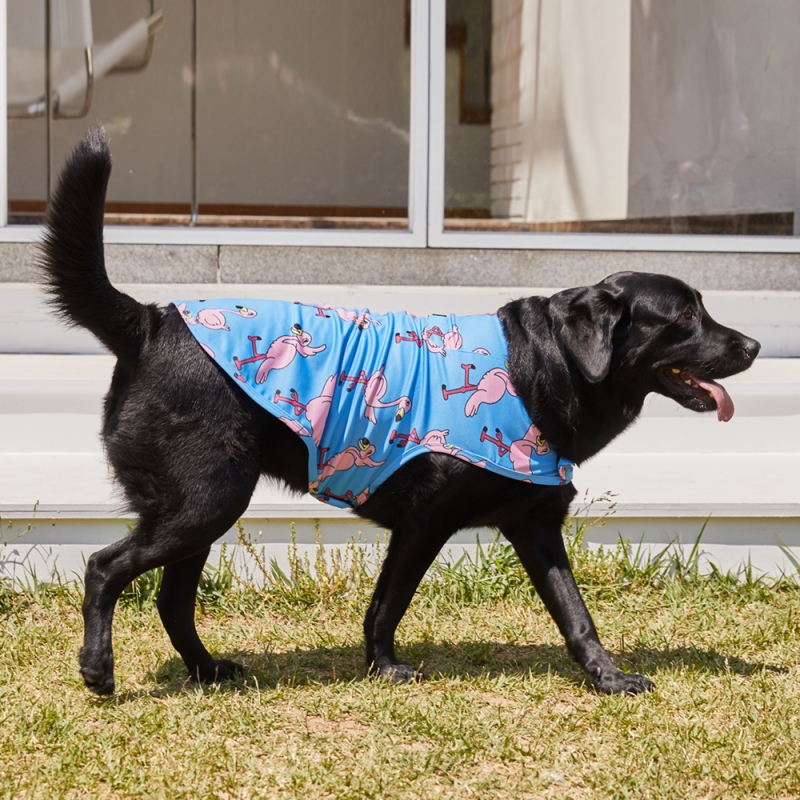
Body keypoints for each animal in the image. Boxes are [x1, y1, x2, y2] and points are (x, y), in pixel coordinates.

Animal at [40, 130, 760, 696]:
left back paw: (208, 670)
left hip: (202, 507)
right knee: (105, 568)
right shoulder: (424, 522)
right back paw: (99, 671)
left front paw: (608, 677)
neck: (541, 366)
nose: (753, 345)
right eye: (686, 317)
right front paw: (384, 669)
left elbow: (576, 614)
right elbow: (387, 605)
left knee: (170, 598)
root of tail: (150, 322)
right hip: (205, 501)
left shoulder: (535, 526)